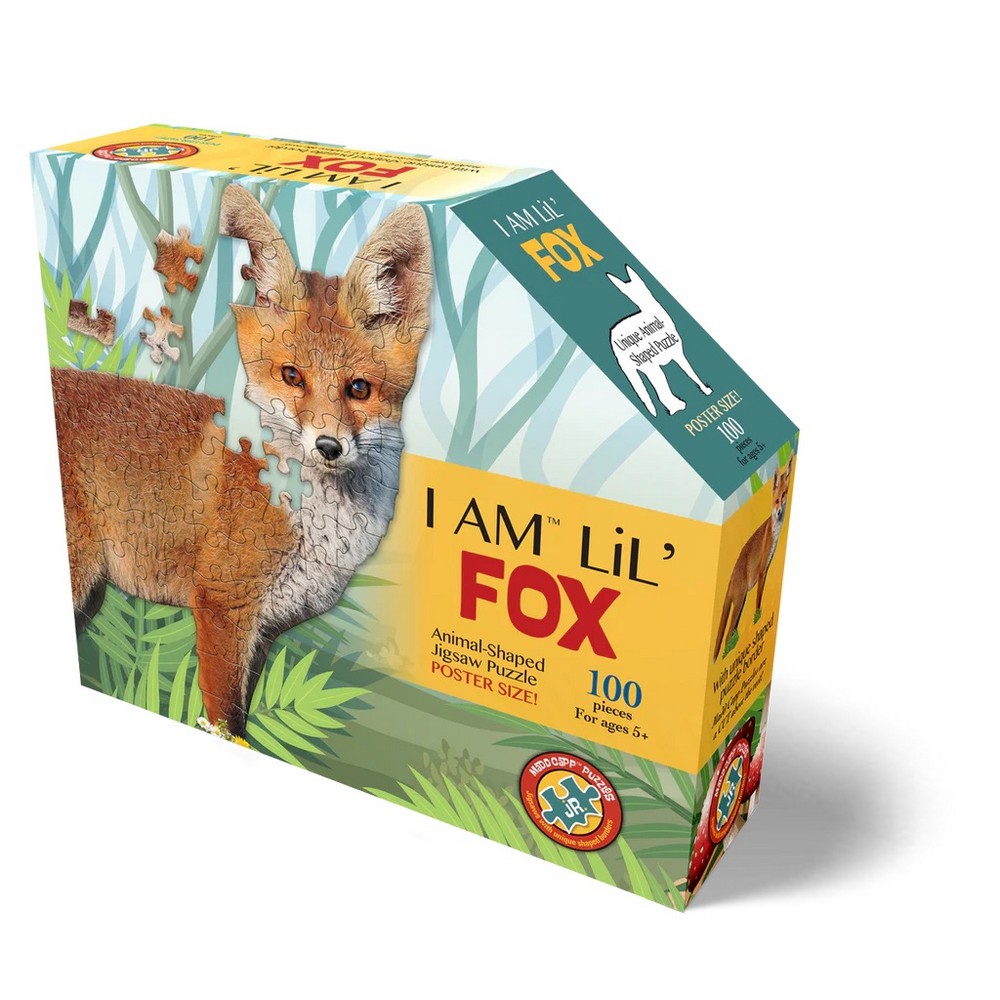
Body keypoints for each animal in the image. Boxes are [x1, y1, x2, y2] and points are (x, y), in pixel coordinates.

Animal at [51, 184, 432, 735]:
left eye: (359, 388)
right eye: (292, 376)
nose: (329, 447)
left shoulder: (265, 629)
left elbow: (244, 720)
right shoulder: (222, 609)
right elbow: (224, 721)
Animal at [712, 456, 793, 662]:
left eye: (785, 495)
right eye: (776, 500)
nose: (779, 511)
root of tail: (730, 579)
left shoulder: (768, 566)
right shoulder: (763, 569)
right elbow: (759, 599)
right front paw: (758, 615)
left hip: (739, 604)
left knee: (730, 633)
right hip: (740, 601)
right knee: (726, 637)